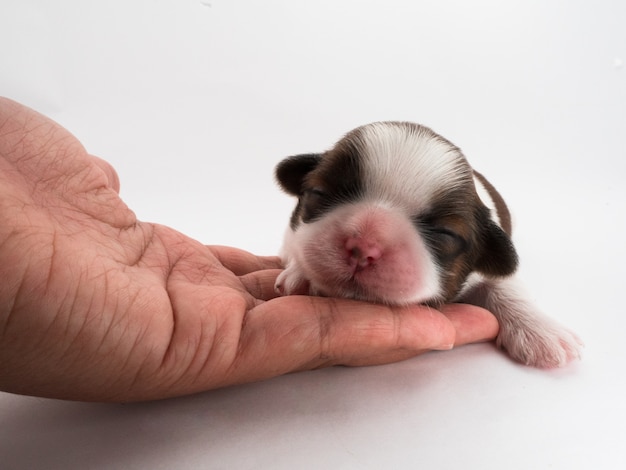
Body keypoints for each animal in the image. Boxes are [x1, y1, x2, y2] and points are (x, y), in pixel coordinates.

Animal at [272, 122, 580, 370]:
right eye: (318, 193)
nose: (363, 247)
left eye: (445, 234)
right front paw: (301, 274)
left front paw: (541, 330)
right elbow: (295, 247)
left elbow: (506, 286)